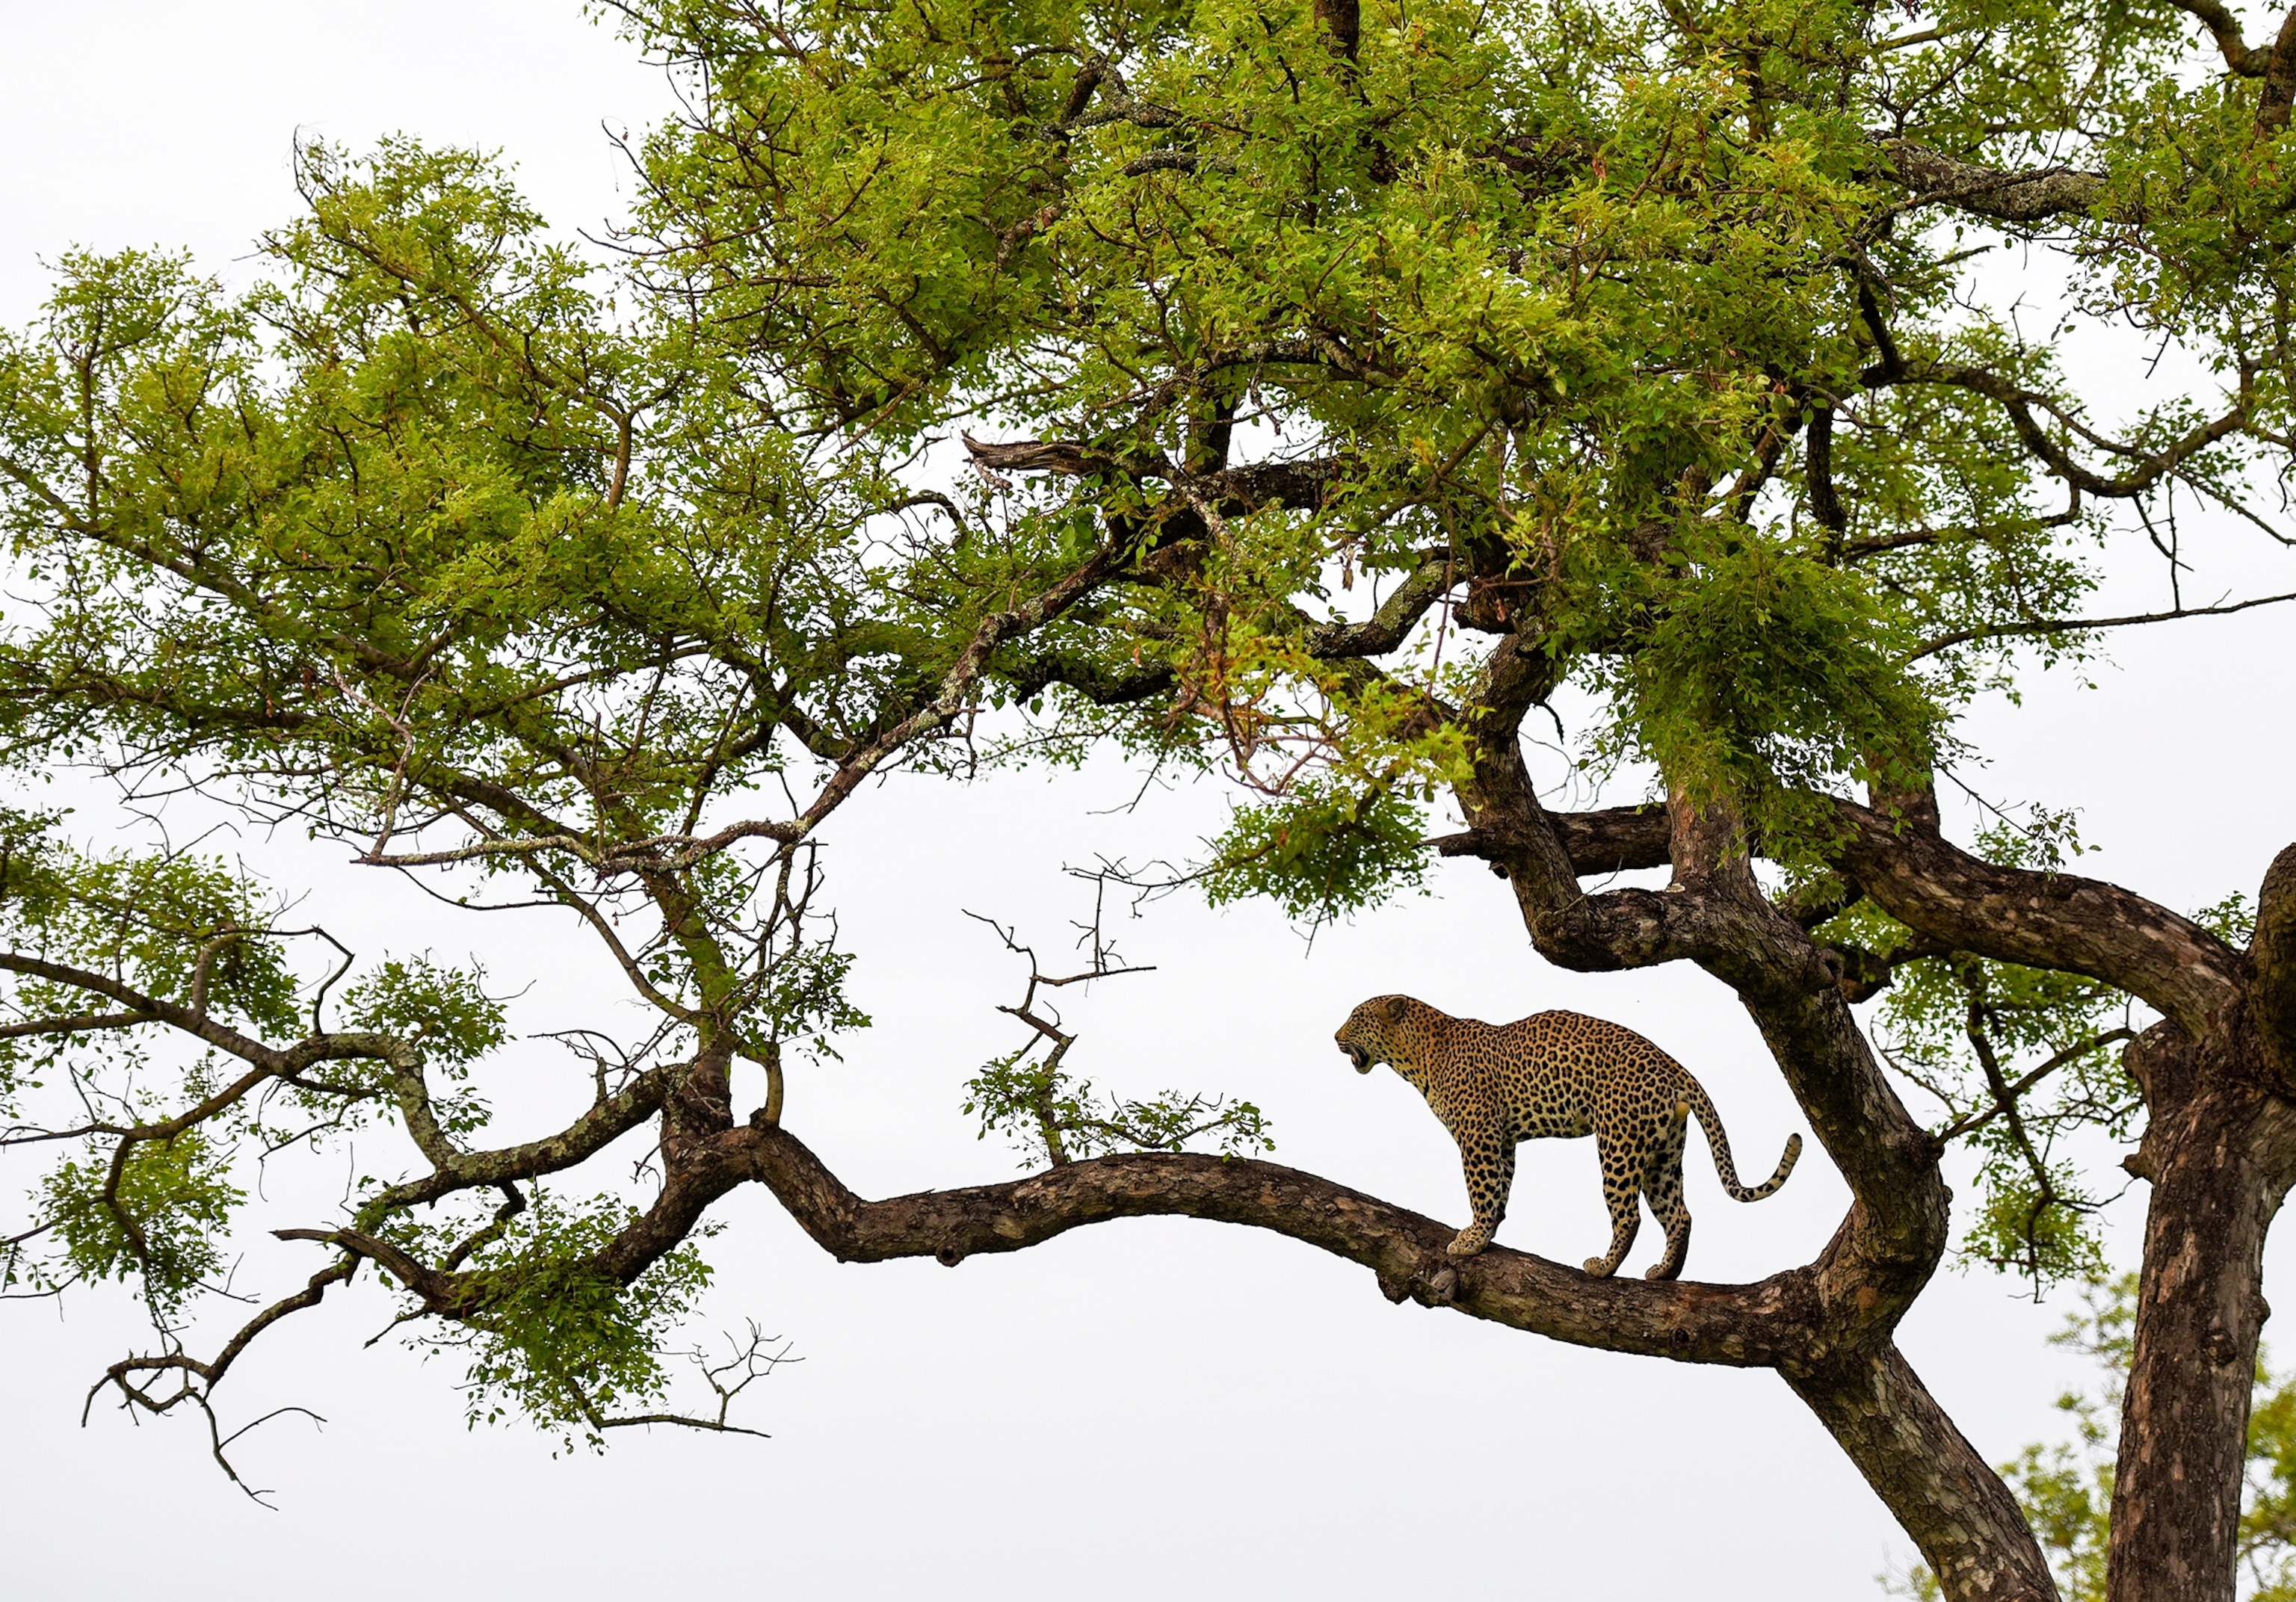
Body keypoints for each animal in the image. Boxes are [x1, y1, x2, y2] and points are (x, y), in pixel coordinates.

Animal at [1335, 994, 1803, 1280]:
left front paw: (1471, 1240)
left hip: (1618, 1144)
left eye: (1356, 1018)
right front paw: (1490, 1231)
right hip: (1664, 1154)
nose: (1335, 1037)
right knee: (1679, 1215)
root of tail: (1673, 1064)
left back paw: (1603, 1267)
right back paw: (1664, 1273)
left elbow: (1480, 1189)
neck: (1419, 1055)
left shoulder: (1478, 1136)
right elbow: (1500, 1188)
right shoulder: (1503, 1140)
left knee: (1629, 1216)